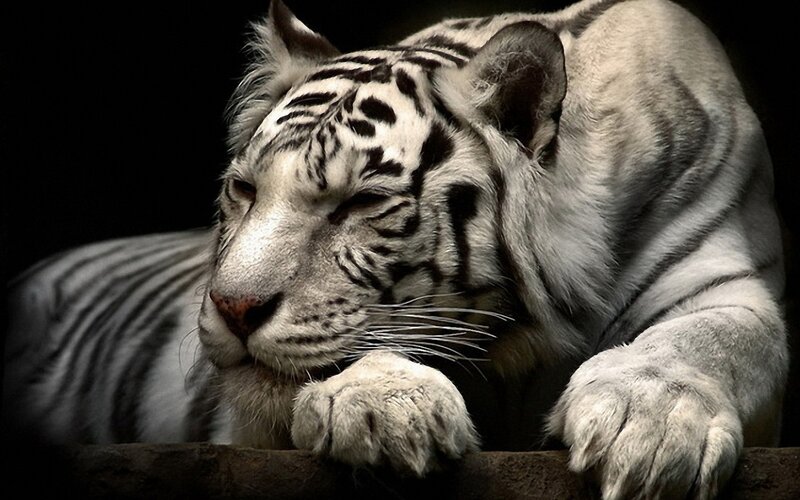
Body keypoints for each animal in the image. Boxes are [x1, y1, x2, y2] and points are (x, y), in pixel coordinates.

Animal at [3, 0, 788, 498]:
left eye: (359, 203)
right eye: (245, 190)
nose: (232, 308)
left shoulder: (724, 277)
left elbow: (712, 339)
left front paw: (649, 427)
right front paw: (383, 407)